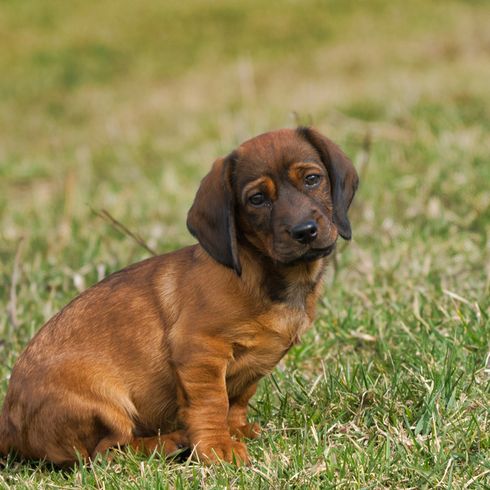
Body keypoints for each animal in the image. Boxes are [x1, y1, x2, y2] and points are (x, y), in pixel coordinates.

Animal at [0, 126, 360, 464]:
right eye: (257, 199)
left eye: (312, 179)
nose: (304, 231)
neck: (266, 275)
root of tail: (9, 428)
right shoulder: (200, 351)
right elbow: (211, 404)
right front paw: (217, 447)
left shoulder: (249, 371)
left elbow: (237, 400)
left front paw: (236, 430)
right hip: (105, 403)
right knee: (106, 451)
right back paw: (168, 443)